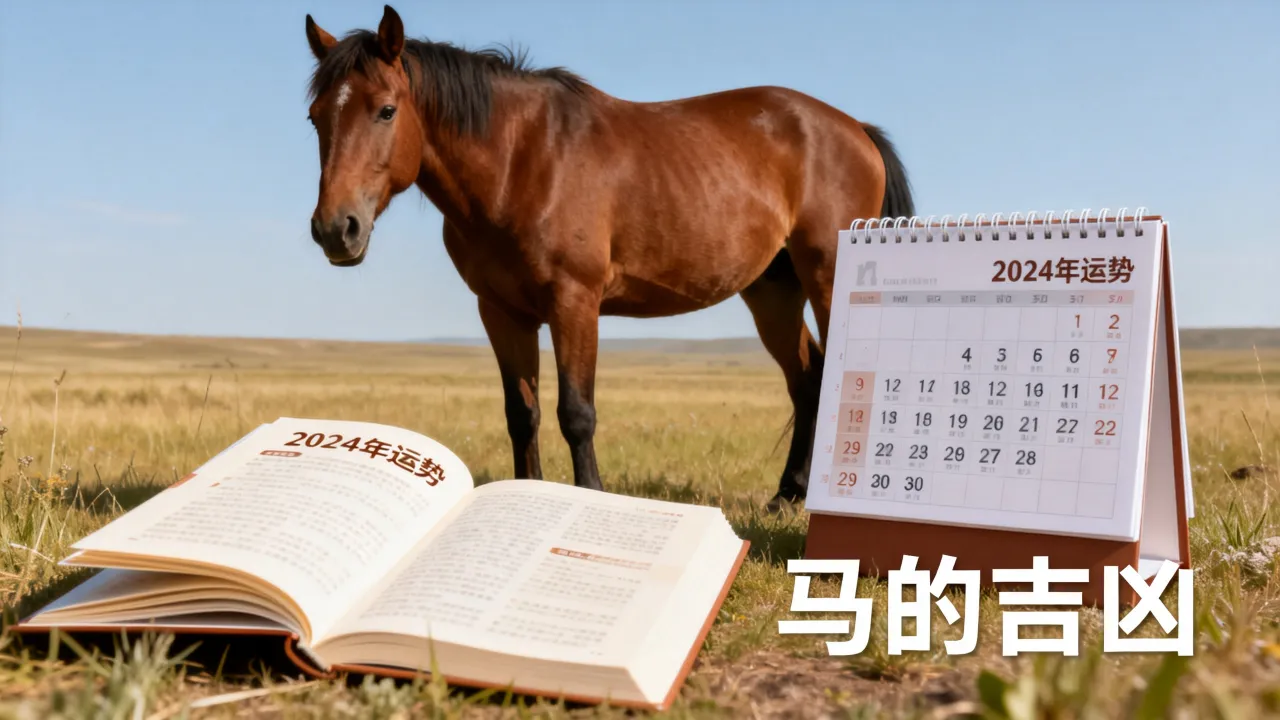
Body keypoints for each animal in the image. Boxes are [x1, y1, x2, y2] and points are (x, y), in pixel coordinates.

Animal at [303, 5, 914, 511]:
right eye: (315, 117)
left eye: (386, 111)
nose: (336, 229)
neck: (521, 160)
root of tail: (856, 129)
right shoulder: (501, 312)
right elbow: (521, 414)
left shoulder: (574, 302)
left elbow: (576, 413)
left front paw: (589, 498)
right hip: (772, 291)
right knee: (806, 378)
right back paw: (786, 496)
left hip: (828, 280)